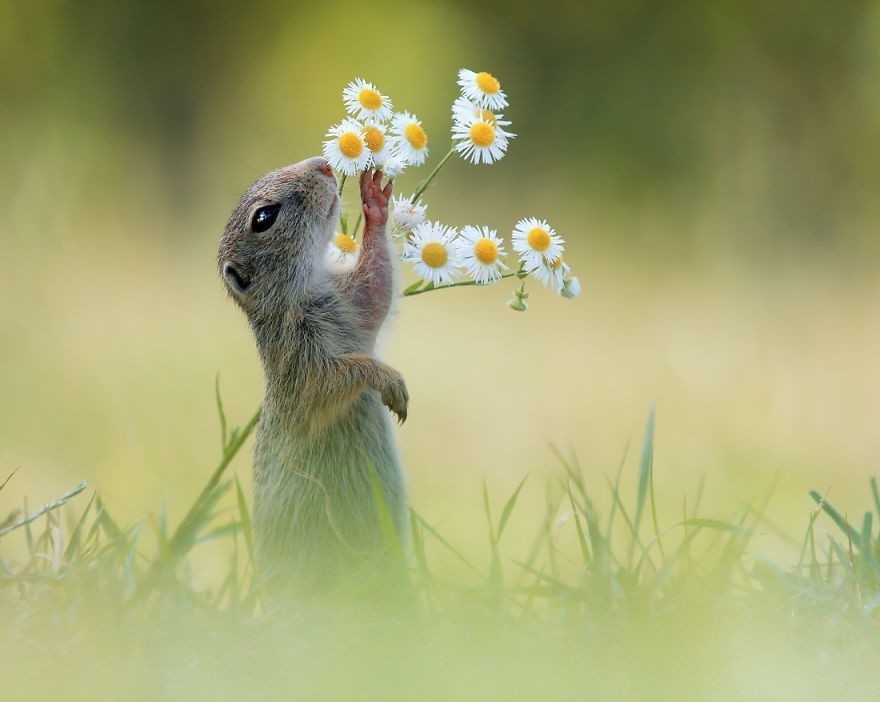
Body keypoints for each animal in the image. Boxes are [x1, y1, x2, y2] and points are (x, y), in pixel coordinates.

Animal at [220, 160, 412, 600]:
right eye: (263, 217)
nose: (322, 164)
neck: (306, 292)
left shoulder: (354, 300)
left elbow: (377, 285)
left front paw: (375, 200)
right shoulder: (301, 364)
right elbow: (335, 380)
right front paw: (387, 379)